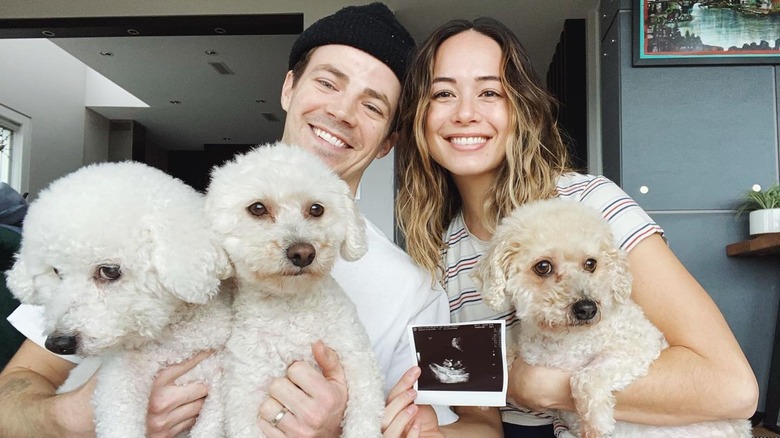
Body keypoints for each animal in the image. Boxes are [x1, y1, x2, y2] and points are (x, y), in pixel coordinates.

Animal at [6, 162, 233, 438]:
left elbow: (209, 426)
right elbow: (118, 420)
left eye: (109, 271)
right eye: (56, 271)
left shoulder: (217, 384)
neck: (171, 339)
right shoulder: (120, 381)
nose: (59, 343)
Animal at [206, 142, 386, 436]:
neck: (291, 309)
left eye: (316, 209)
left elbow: (364, 418)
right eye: (257, 208)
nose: (303, 253)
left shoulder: (359, 365)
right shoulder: (245, 397)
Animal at [472, 198, 752, 438]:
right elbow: (507, 350)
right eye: (543, 266)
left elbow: (583, 378)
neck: (565, 341)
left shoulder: (638, 347)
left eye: (591, 263)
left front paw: (598, 422)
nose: (587, 308)